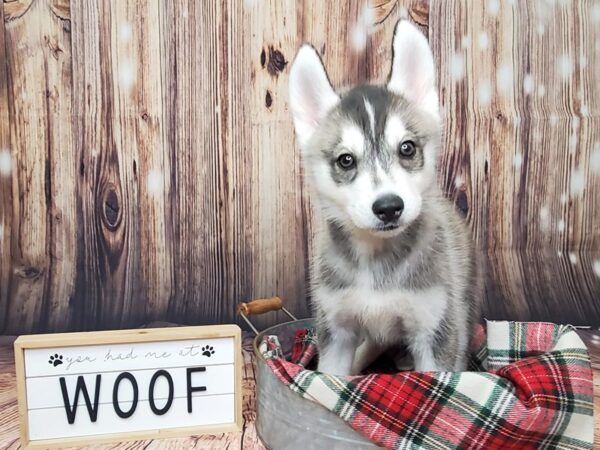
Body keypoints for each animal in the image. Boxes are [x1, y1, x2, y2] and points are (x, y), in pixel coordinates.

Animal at [288, 19, 480, 374]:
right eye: (345, 160)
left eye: (407, 148)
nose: (389, 207)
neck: (376, 259)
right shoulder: (336, 330)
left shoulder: (433, 332)